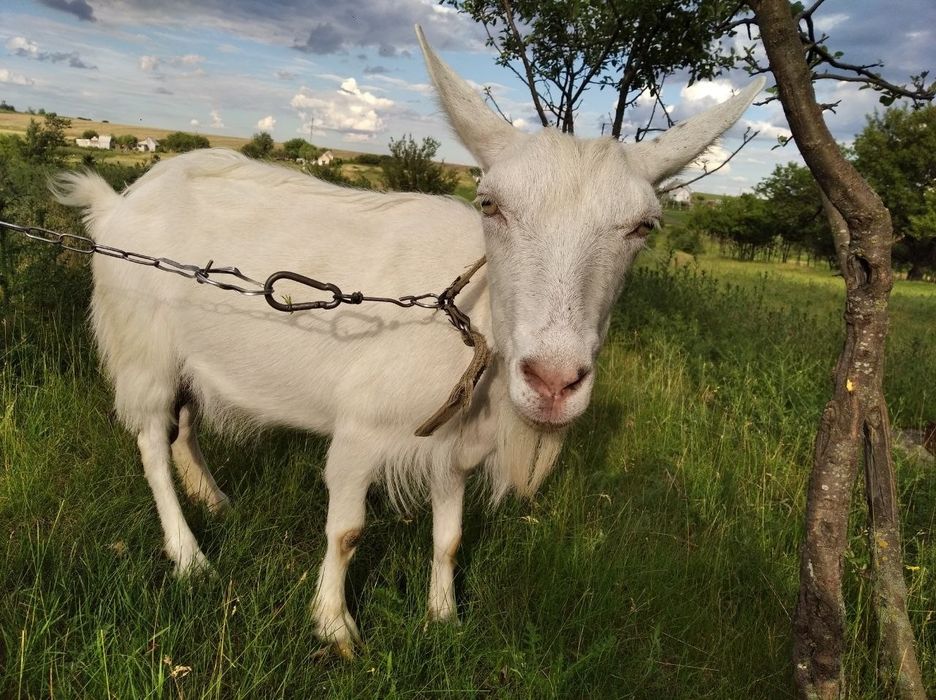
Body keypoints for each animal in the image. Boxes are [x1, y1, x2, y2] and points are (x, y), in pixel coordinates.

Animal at [53, 26, 763, 656]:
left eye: (645, 226)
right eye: (490, 204)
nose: (554, 382)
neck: (472, 325)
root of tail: (116, 205)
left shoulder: (454, 447)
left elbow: (449, 537)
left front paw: (443, 618)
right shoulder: (361, 430)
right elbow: (346, 531)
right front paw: (335, 629)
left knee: (184, 425)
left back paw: (216, 501)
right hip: (140, 346)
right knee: (151, 438)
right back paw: (189, 554)